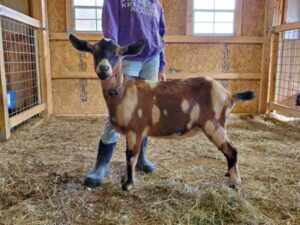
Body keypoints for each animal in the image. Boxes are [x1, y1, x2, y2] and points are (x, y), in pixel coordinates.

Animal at [69, 34, 254, 191]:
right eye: (94, 52)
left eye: (118, 54)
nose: (103, 69)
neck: (123, 91)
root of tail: (229, 95)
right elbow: (129, 155)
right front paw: (125, 181)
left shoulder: (135, 130)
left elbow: (131, 157)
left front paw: (128, 185)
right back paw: (229, 174)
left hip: (215, 125)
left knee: (232, 150)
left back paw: (235, 182)